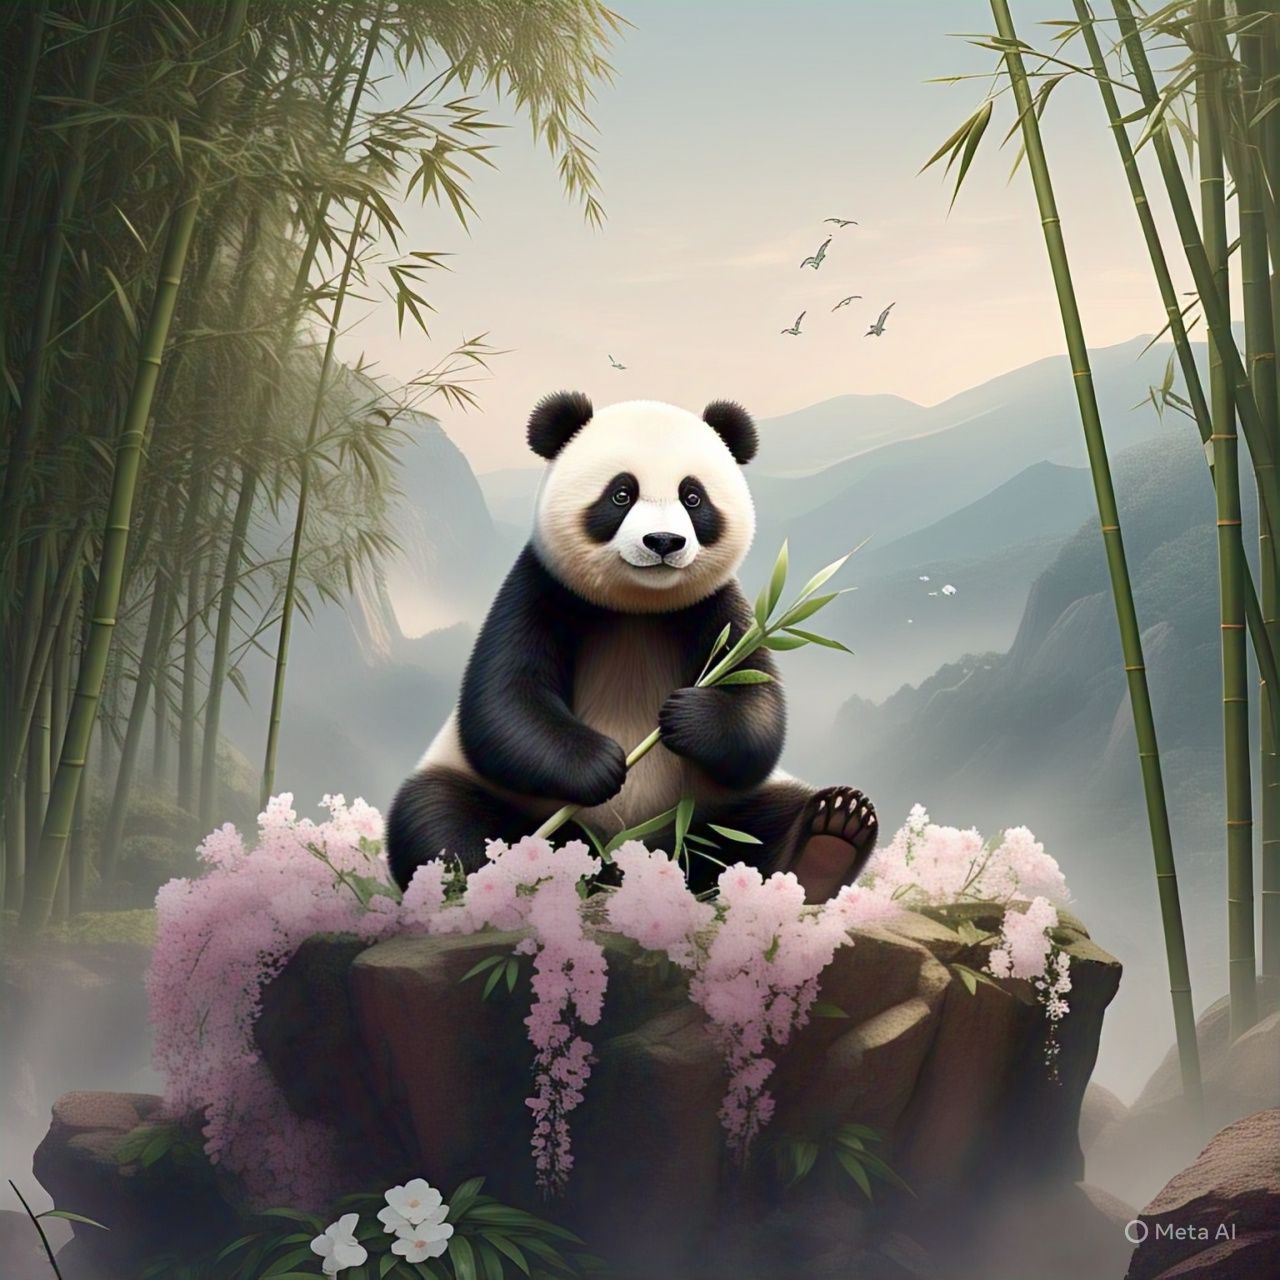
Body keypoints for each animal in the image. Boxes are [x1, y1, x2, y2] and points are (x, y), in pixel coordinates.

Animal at [386, 392, 878, 902]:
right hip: (505, 798)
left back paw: (830, 839)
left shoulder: (721, 609)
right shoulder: (541, 588)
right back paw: (491, 880)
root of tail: (623, 858)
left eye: (692, 496)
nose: (663, 541)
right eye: (621, 494)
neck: (637, 607)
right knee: (438, 817)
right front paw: (602, 764)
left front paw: (685, 716)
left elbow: (756, 708)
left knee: (763, 824)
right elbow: (505, 700)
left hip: (706, 809)